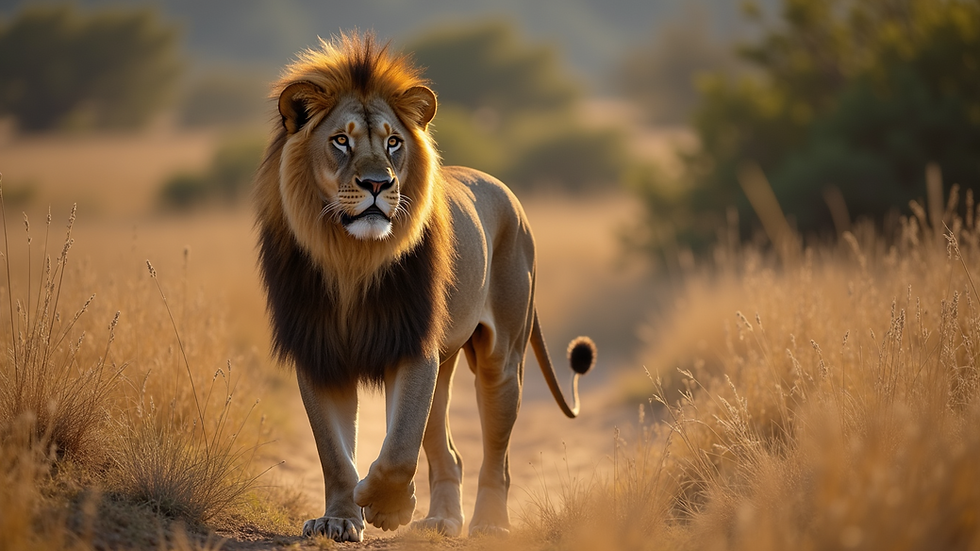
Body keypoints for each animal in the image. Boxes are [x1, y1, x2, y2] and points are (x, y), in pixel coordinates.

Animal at [254, 32, 595, 542]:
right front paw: (338, 518)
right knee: (448, 452)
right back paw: (442, 520)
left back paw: (489, 524)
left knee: (496, 456)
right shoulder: (319, 351)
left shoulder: (414, 347)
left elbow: (399, 447)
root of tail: (510, 197)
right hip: (447, 361)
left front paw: (386, 507)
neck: (352, 259)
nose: (379, 183)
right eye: (340, 140)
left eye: (393, 142)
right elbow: (333, 452)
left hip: (500, 358)